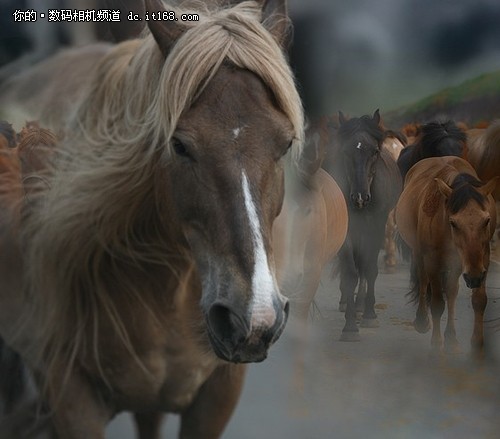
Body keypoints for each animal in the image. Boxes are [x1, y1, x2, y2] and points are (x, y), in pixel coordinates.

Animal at [324, 111, 402, 344]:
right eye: (345, 151)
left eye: (375, 151)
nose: (360, 197)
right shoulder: (348, 230)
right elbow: (351, 273)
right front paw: (350, 327)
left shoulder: (376, 225)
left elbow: (369, 268)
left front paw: (369, 314)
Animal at [396, 156, 498, 356]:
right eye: (453, 223)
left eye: (487, 220)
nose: (474, 277)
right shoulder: (432, 260)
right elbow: (437, 303)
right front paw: (436, 342)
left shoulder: (482, 260)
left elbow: (478, 300)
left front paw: (477, 342)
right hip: (420, 253)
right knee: (423, 281)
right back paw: (422, 321)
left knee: (451, 292)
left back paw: (451, 337)